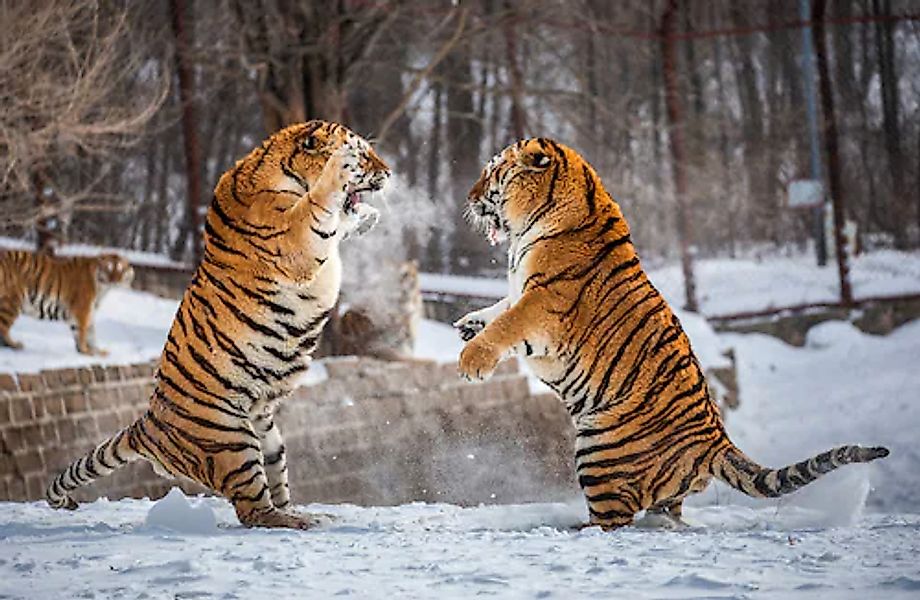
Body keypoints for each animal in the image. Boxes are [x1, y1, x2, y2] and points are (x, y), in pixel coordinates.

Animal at [0, 250, 135, 354]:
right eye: (108, 269)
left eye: (121, 270)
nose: (115, 280)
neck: (103, 288)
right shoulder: (82, 310)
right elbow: (83, 331)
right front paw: (85, 350)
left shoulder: (89, 312)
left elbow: (90, 333)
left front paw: (97, 351)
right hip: (12, 302)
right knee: (3, 328)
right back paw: (15, 345)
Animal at [45, 120, 390, 528]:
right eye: (364, 154)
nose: (388, 173)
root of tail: (148, 424)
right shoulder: (295, 238)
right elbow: (320, 206)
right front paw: (340, 169)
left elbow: (340, 220)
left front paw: (366, 217)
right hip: (232, 440)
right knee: (252, 510)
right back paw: (297, 521)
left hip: (268, 437)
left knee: (273, 489)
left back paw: (299, 512)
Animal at [456, 137, 888, 528]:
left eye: (492, 170)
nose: (469, 196)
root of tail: (715, 441)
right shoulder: (522, 292)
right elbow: (498, 309)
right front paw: (467, 324)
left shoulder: (543, 303)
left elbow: (507, 323)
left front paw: (471, 360)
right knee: (666, 516)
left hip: (600, 450)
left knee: (612, 522)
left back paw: (572, 529)